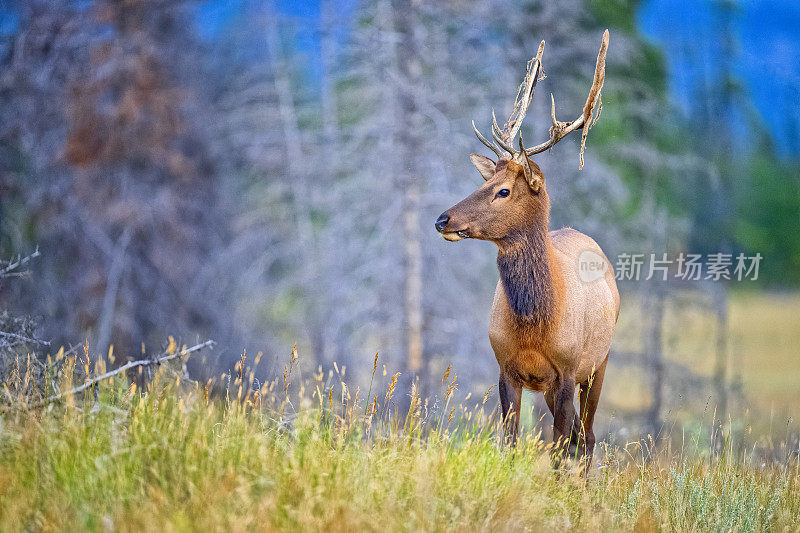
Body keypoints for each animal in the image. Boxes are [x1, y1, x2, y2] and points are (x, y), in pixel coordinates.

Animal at [438, 30, 620, 462]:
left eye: (503, 191)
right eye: (485, 181)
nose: (443, 220)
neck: (535, 326)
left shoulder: (567, 370)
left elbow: (558, 450)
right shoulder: (506, 368)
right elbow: (509, 442)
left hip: (599, 362)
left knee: (587, 437)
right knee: (580, 436)